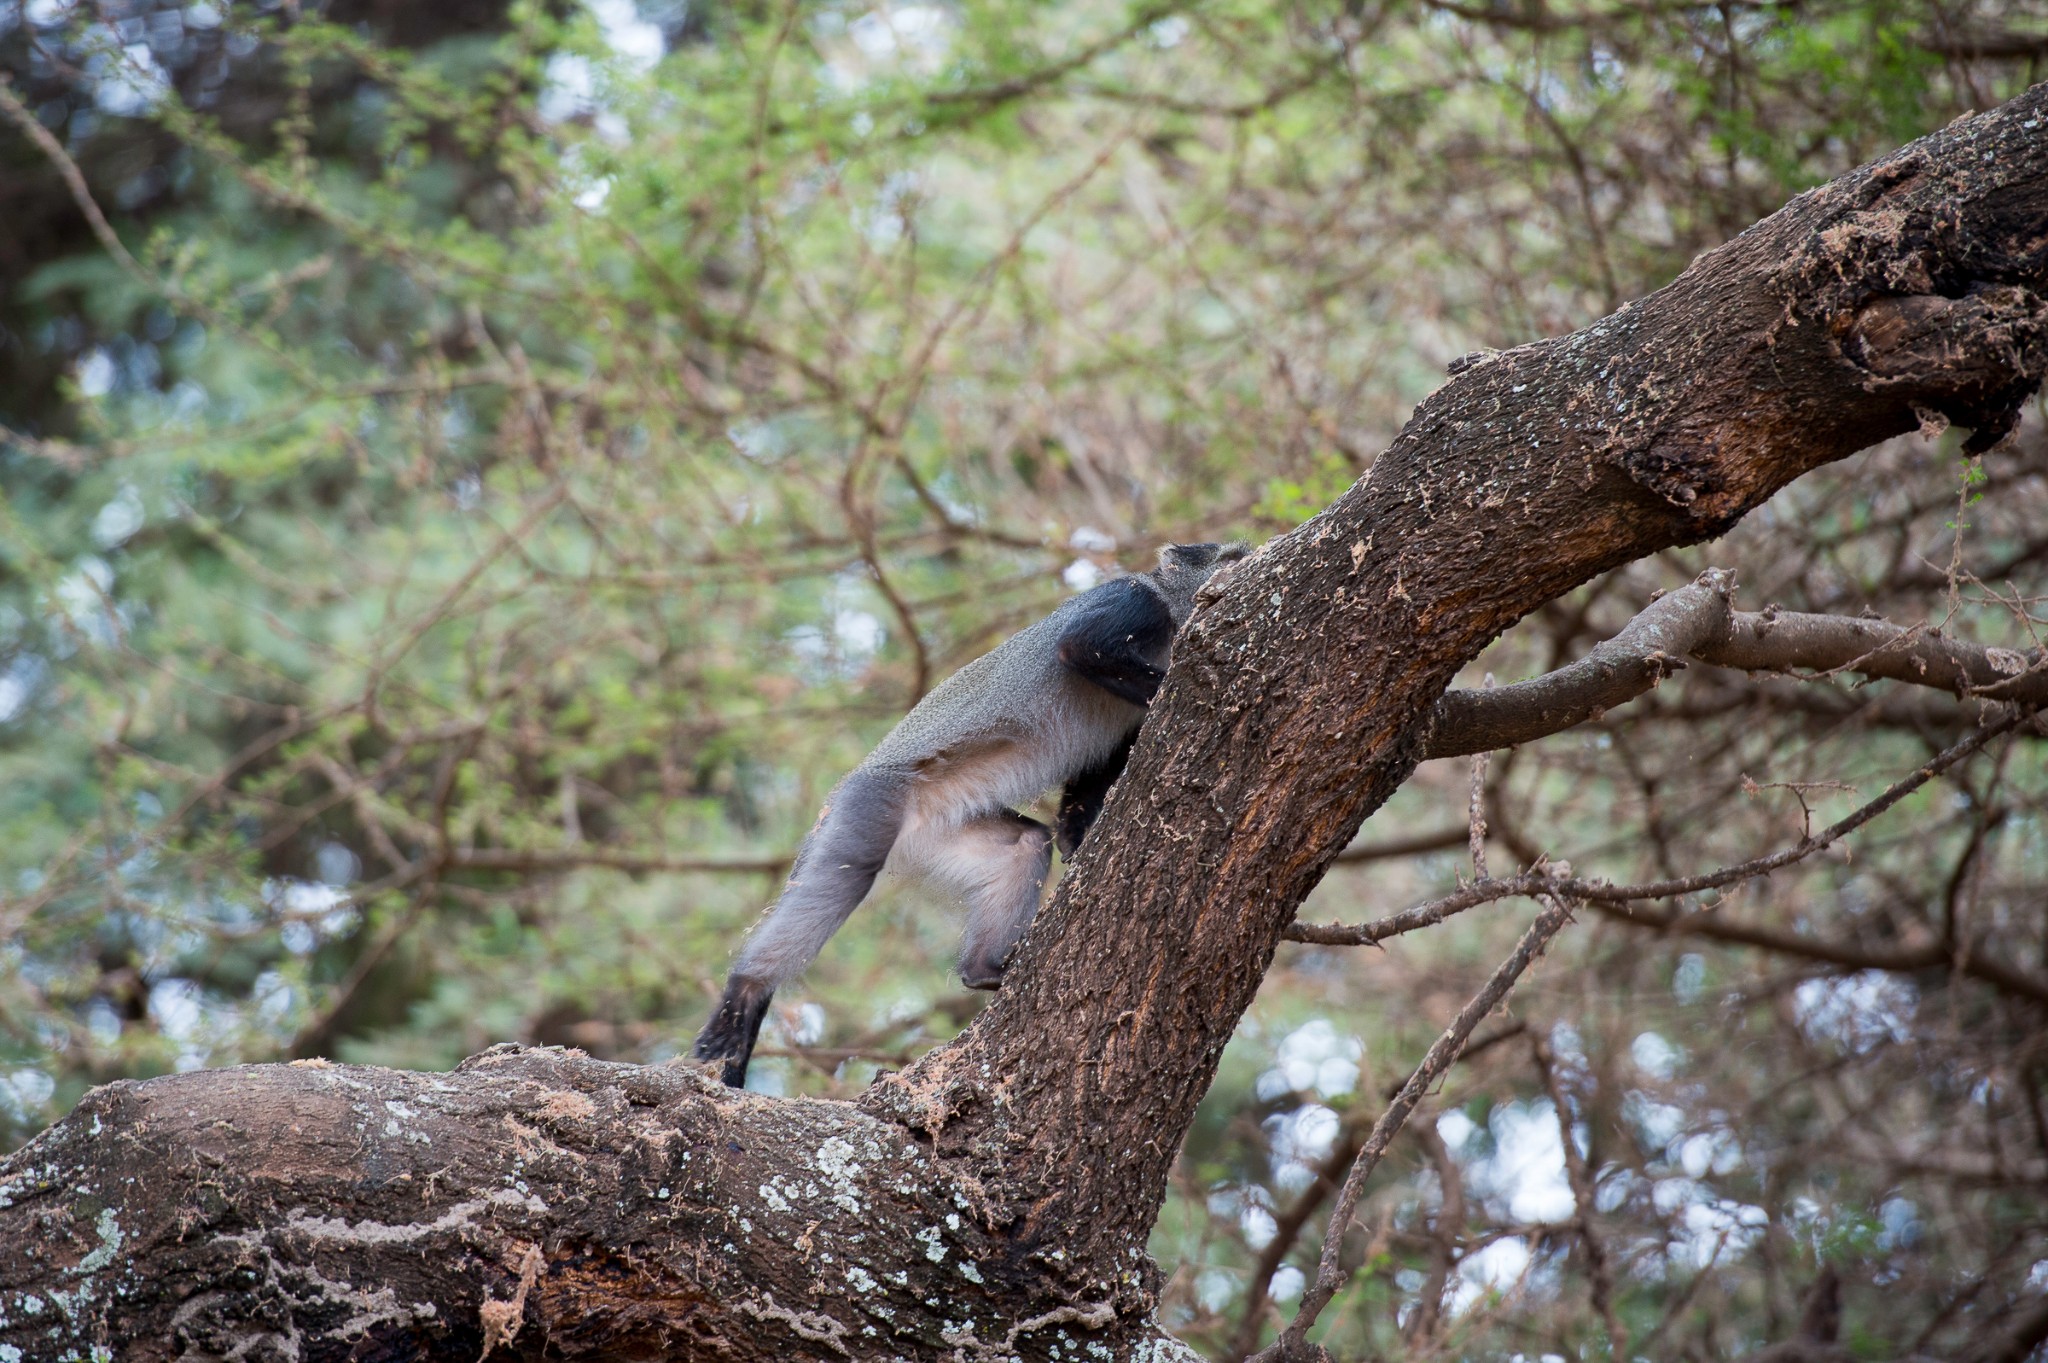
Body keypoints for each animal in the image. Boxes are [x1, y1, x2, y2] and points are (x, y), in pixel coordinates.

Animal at [696, 540, 1245, 1080]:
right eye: (1232, 559)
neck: (1171, 606)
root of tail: (838, 797)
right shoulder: (1132, 602)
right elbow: (1082, 647)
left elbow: (1085, 793)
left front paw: (1077, 838)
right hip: (871, 803)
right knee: (844, 878)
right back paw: (745, 991)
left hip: (940, 827)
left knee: (1026, 844)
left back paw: (984, 971)